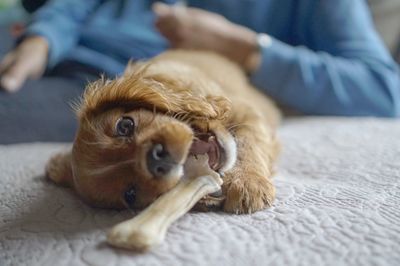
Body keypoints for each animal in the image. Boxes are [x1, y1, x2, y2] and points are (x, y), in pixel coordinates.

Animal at [45, 50, 280, 214]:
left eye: (125, 125)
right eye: (130, 194)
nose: (157, 159)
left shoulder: (247, 110)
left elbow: (249, 140)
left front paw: (247, 182)